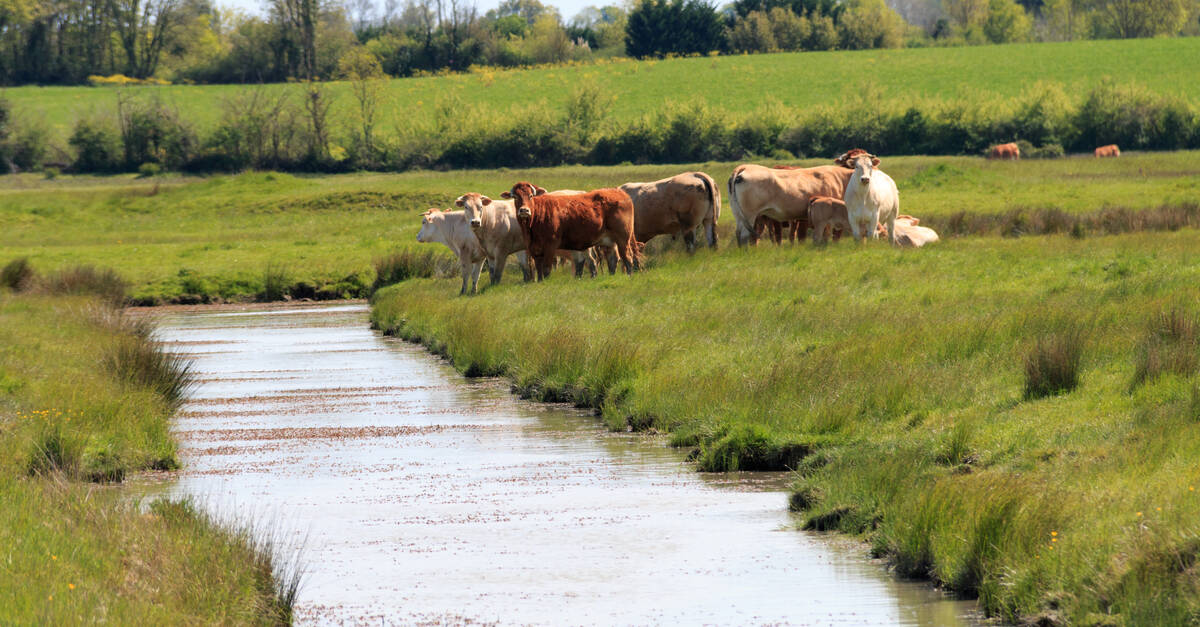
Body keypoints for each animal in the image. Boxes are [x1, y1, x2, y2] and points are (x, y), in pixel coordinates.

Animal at [504, 178, 643, 279]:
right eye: (515, 197)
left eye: (531, 196)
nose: (524, 210)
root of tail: (619, 192)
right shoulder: (534, 249)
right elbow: (539, 271)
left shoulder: (550, 246)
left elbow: (546, 269)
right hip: (608, 240)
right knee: (613, 258)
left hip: (623, 238)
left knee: (627, 257)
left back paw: (629, 276)